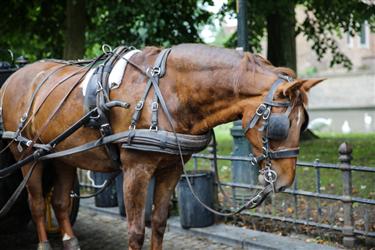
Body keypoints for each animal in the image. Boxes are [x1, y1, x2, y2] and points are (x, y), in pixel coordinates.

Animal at [0, 44, 324, 249]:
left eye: (303, 124)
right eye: (280, 126)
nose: (284, 181)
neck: (165, 93)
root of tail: (14, 77)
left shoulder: (171, 169)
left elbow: (157, 223)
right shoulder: (136, 170)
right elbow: (135, 231)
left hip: (63, 155)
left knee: (60, 202)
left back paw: (70, 241)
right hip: (27, 154)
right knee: (36, 203)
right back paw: (44, 243)